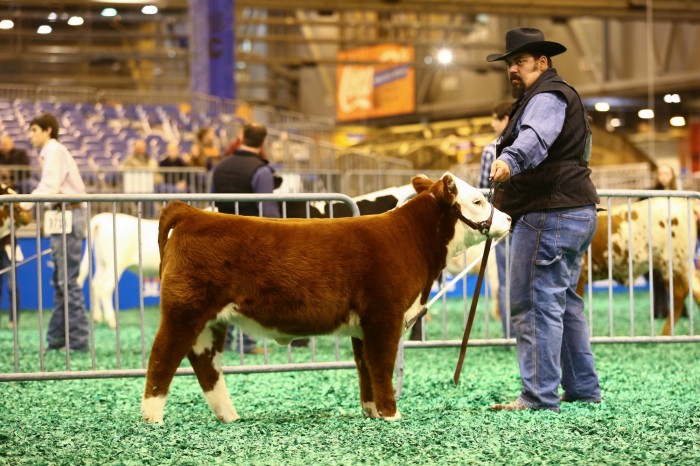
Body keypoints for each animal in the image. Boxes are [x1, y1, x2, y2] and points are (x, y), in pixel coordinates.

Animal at [142, 173, 512, 424]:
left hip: (211, 320)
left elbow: (365, 368)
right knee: (162, 357)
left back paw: (229, 416)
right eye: (477, 201)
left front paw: (372, 412)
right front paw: (392, 414)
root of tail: (192, 212)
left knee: (206, 364)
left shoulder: (364, 325)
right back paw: (153, 419)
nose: (508, 218)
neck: (410, 239)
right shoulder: (384, 315)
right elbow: (382, 365)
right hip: (185, 310)